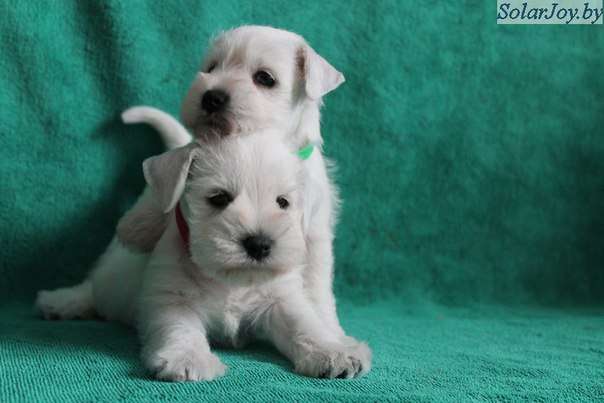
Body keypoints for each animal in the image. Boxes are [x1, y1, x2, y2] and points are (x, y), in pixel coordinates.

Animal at [38, 133, 371, 381]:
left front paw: (334, 352)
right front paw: (188, 358)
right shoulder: (172, 297)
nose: (260, 244)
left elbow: (305, 324)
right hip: (107, 282)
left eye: (282, 202)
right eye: (219, 198)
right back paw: (60, 302)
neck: (230, 280)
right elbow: (181, 327)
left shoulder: (281, 299)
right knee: (90, 290)